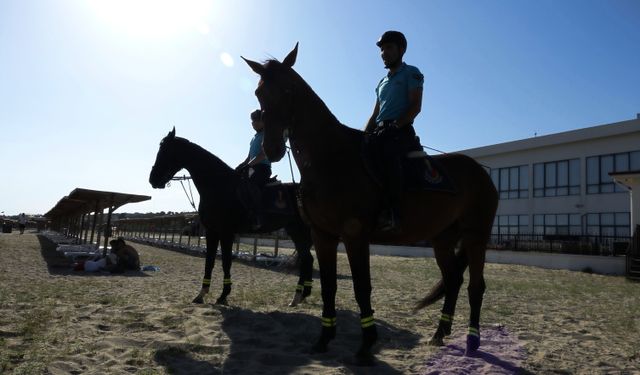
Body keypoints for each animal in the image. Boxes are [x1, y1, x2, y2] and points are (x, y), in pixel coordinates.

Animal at [242, 43, 498, 364]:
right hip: (442, 238)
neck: (331, 158)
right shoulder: (323, 235)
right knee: (453, 281)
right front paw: (323, 339)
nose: (272, 147)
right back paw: (439, 334)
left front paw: (366, 344)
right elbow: (329, 286)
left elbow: (362, 286)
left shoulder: (354, 236)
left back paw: (472, 341)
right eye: (259, 93)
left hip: (477, 236)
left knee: (476, 286)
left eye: (288, 89)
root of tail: (481, 172)